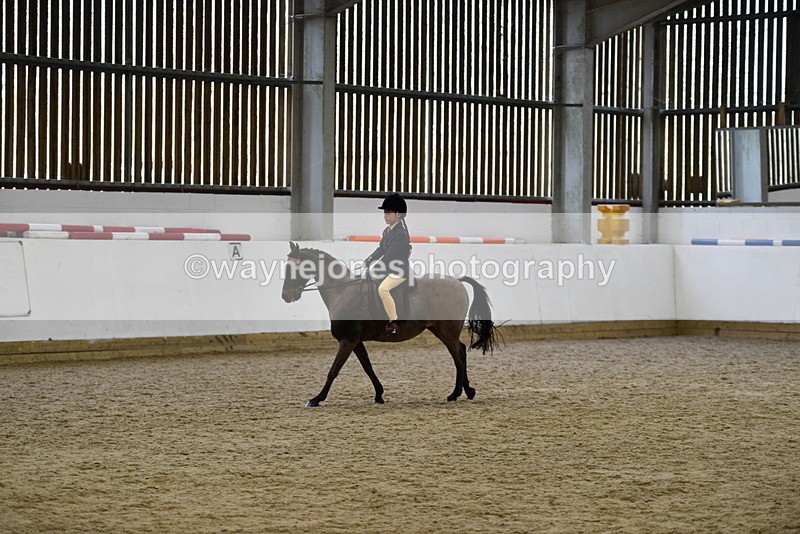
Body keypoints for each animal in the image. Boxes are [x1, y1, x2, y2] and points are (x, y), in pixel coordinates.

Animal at [281, 242, 500, 407]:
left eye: (293, 268)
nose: (286, 296)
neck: (342, 290)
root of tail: (457, 282)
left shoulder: (347, 340)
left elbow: (333, 370)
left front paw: (316, 399)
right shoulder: (355, 341)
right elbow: (367, 367)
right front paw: (379, 395)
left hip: (447, 332)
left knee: (458, 357)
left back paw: (455, 394)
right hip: (439, 330)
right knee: (461, 352)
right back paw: (467, 391)